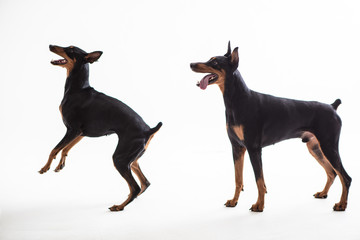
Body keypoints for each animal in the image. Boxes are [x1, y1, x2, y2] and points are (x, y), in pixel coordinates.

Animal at [39, 44, 162, 211]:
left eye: (70, 49)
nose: (51, 45)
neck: (78, 89)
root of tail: (148, 130)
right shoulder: (81, 133)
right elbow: (65, 149)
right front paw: (60, 165)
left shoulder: (73, 129)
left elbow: (54, 149)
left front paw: (45, 167)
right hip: (132, 159)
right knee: (144, 183)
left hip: (120, 158)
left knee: (135, 187)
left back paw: (119, 206)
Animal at [191, 42, 352, 211]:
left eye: (215, 62)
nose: (191, 64)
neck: (237, 100)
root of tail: (332, 106)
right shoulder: (237, 148)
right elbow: (238, 179)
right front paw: (234, 201)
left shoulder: (254, 148)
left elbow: (259, 181)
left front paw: (259, 205)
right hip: (315, 147)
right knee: (332, 172)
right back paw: (323, 193)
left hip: (328, 145)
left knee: (345, 177)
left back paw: (341, 204)